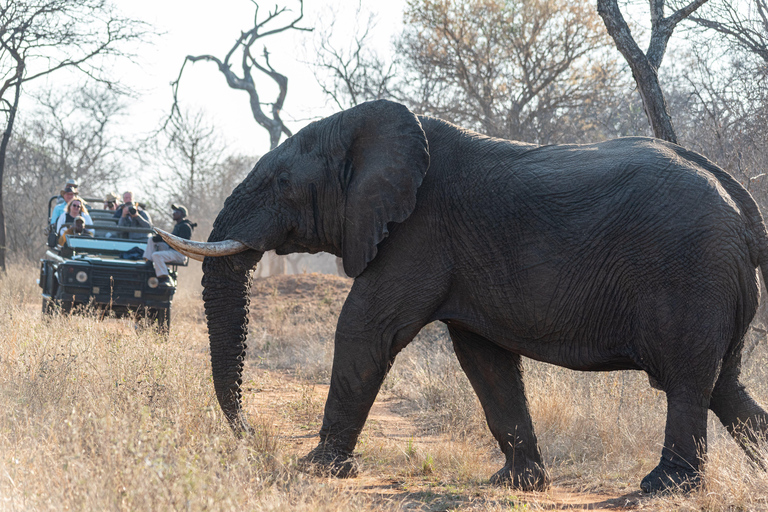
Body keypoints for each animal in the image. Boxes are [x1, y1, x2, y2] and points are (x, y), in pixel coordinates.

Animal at [159, 98, 768, 494]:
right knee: (723, 385)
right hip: (716, 285)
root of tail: (742, 204)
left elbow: (365, 330)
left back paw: (663, 488)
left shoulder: (417, 233)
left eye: (282, 185)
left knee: (688, 381)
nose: (250, 434)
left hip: (691, 274)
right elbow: (483, 358)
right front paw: (518, 484)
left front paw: (317, 467)